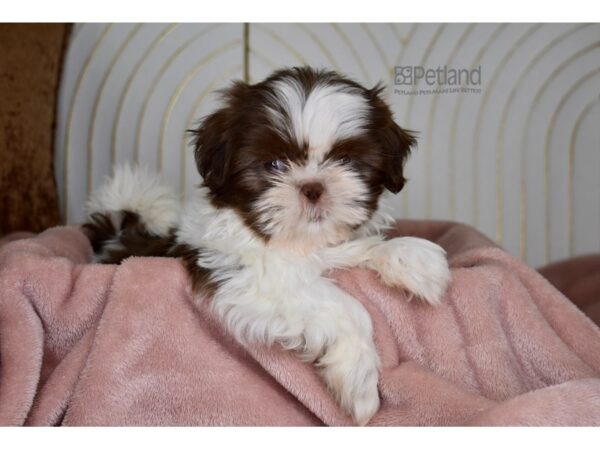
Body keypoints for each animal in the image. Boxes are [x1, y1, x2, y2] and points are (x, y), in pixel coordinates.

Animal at [83, 67, 450, 426]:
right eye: (274, 165)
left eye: (346, 160)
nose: (313, 187)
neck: (299, 244)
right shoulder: (251, 278)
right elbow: (345, 306)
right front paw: (358, 379)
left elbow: (361, 249)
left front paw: (416, 260)